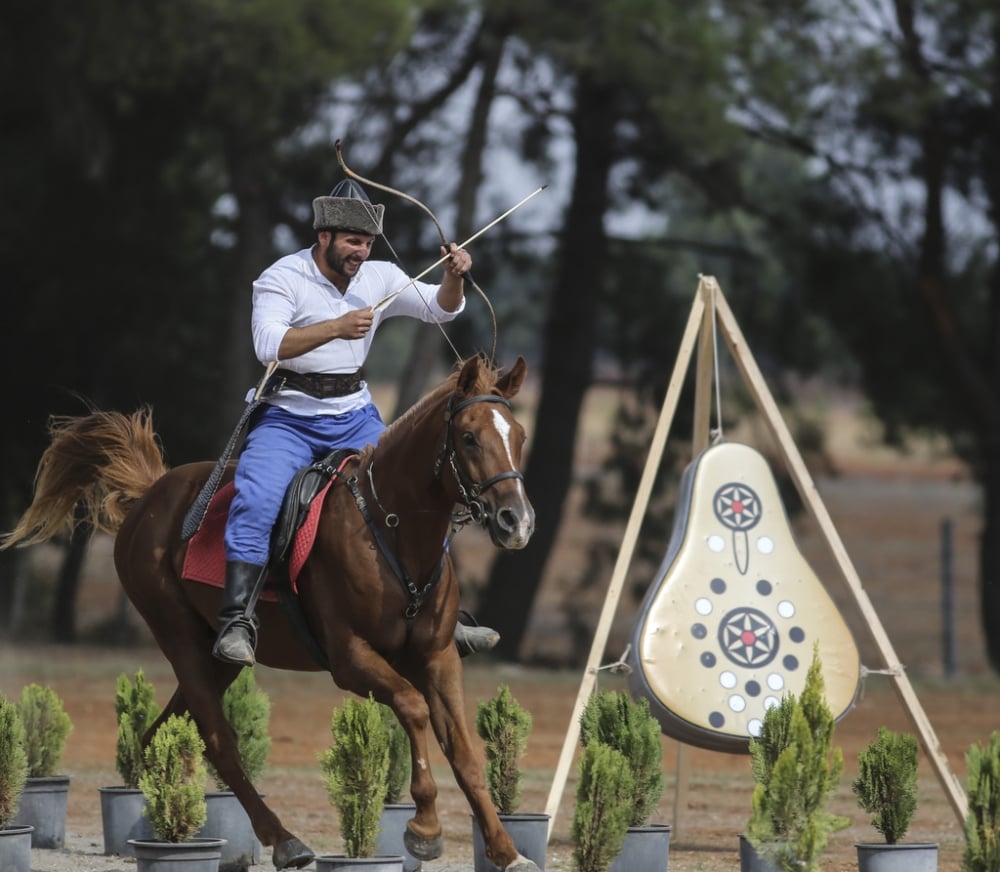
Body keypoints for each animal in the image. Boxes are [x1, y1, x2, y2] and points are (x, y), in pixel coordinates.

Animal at [3, 356, 540, 872]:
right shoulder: (350, 659)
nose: (517, 521)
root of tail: (153, 494)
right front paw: (425, 829)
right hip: (180, 639)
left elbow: (466, 755)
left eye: (519, 435)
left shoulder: (438, 657)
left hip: (214, 658)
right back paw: (282, 841)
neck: (393, 528)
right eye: (469, 437)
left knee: (160, 733)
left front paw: (506, 851)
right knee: (218, 741)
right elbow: (413, 707)